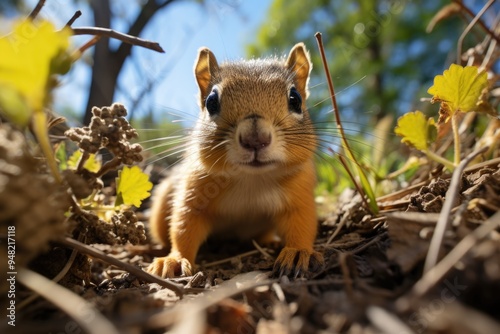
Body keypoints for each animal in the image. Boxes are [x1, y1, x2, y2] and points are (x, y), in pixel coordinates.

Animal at [146, 43, 322, 278]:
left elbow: (302, 223)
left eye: (295, 99)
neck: (251, 178)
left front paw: (297, 252)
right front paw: (174, 259)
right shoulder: (195, 190)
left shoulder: (299, 192)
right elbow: (184, 225)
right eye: (211, 102)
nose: (255, 139)